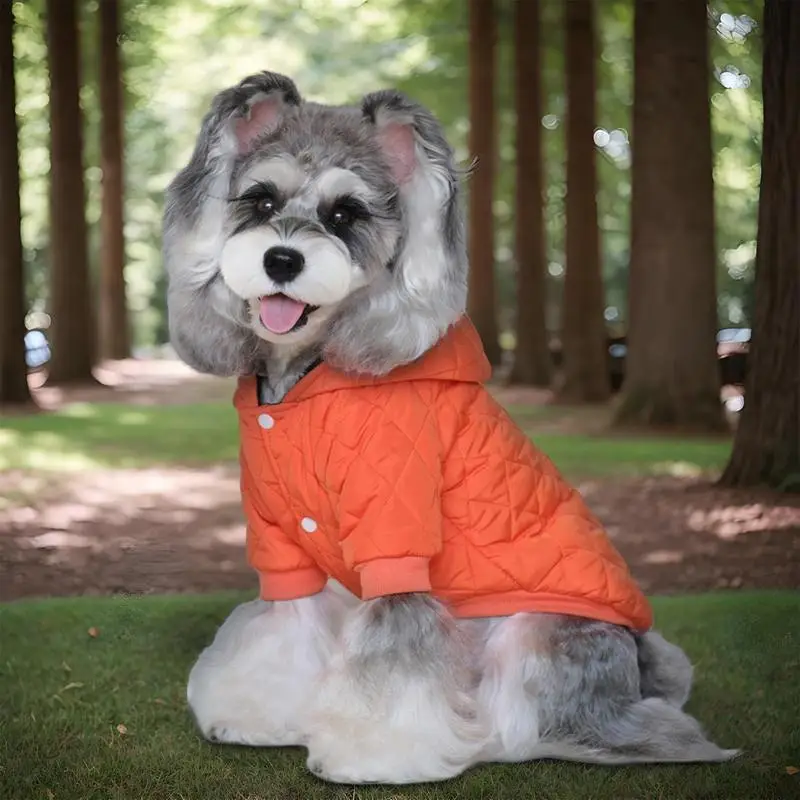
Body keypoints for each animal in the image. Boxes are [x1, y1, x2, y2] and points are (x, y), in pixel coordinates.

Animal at [162, 72, 736, 784]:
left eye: (345, 214)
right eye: (260, 198)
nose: (282, 259)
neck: (306, 379)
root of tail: (641, 665)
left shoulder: (397, 540)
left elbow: (394, 658)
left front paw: (372, 754)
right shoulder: (282, 547)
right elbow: (283, 633)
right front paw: (253, 714)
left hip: (537, 636)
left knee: (574, 727)